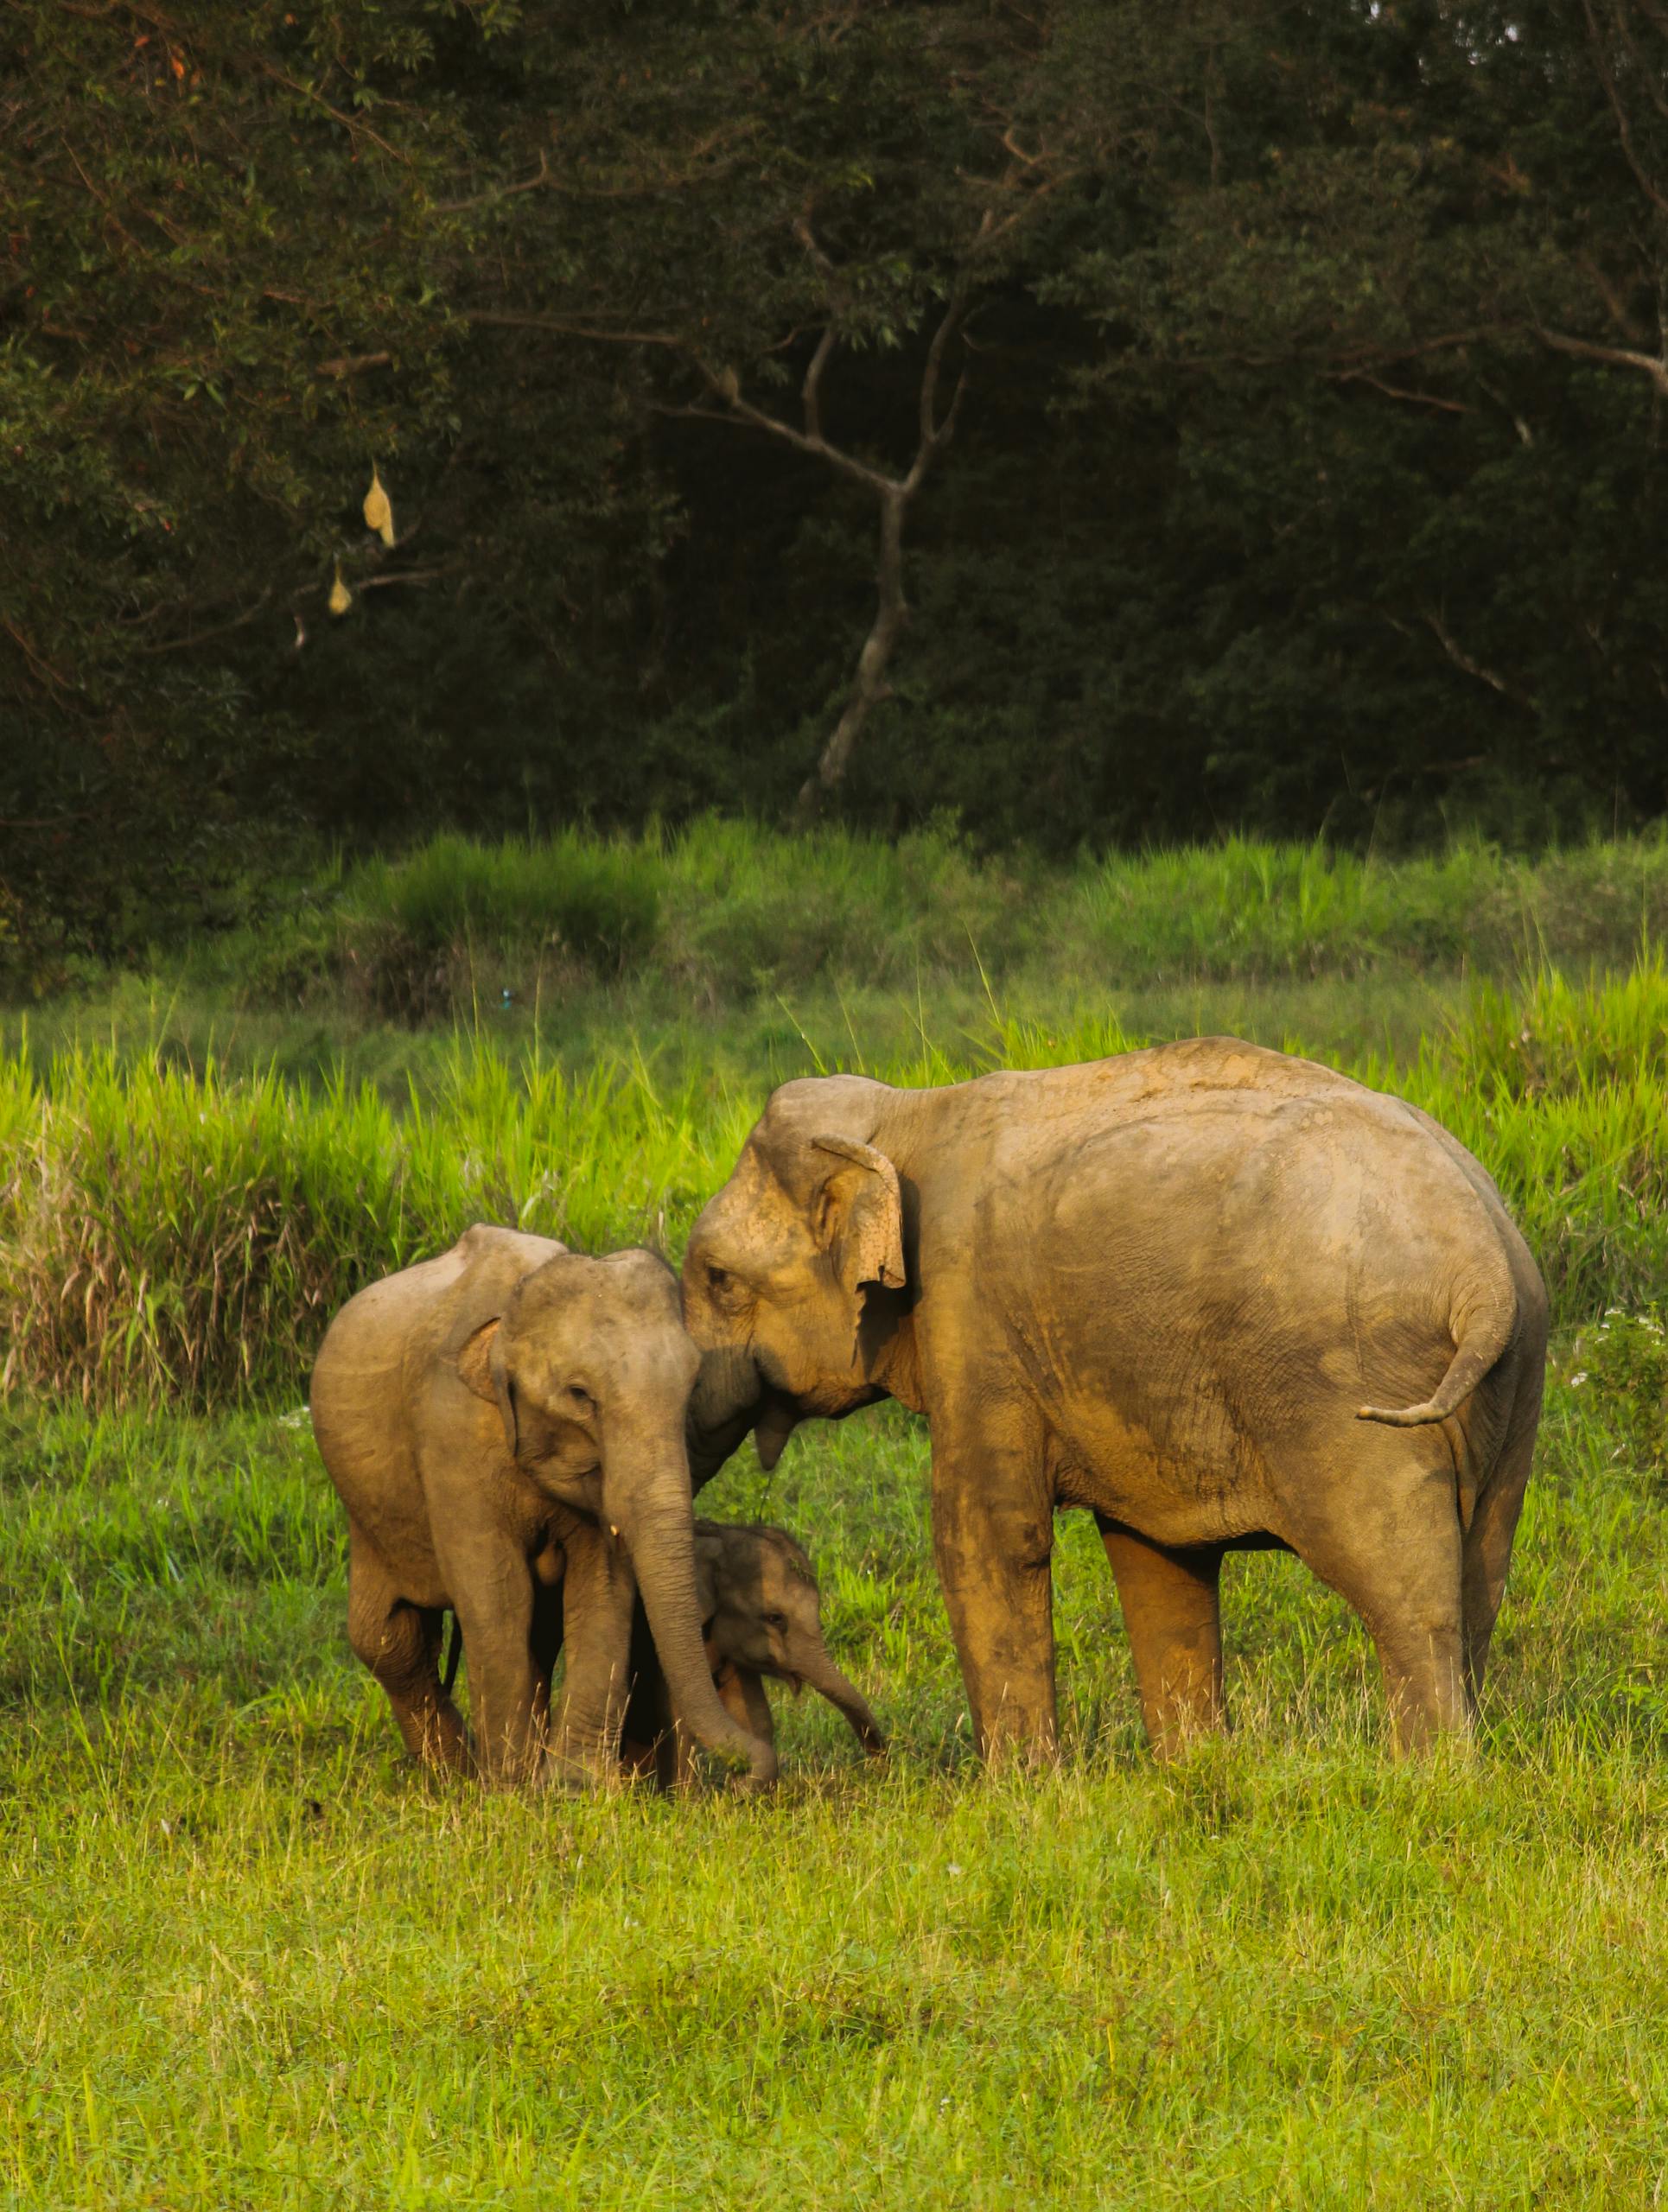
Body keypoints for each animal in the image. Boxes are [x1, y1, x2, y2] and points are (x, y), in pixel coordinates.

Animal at [309, 1224, 777, 1789]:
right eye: (579, 1395)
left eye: (691, 1389)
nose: (749, 1774)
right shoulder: (450, 1437)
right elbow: (498, 1592)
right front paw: (509, 1789)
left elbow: (601, 1587)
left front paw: (576, 1787)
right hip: (365, 1511)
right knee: (387, 1636)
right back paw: (455, 1775)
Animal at [681, 1037, 1549, 1762]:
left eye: (718, 1280)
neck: (905, 1111)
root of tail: (1483, 1269)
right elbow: (1154, 1556)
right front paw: (1193, 1770)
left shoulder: (970, 1316)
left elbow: (986, 1535)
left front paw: (1022, 1794)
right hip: (1517, 1382)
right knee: (1480, 1578)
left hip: (1345, 1382)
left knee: (1403, 1588)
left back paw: (1432, 1776)